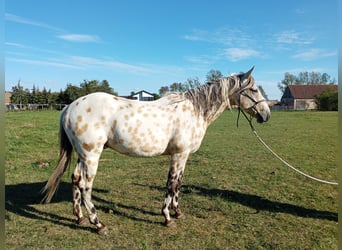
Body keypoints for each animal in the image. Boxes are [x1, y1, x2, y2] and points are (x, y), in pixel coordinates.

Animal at [42, 66, 270, 234]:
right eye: (253, 90)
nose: (266, 115)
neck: (194, 110)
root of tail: (69, 107)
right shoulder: (178, 155)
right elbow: (172, 184)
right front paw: (167, 217)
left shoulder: (183, 156)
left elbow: (179, 184)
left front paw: (178, 212)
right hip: (91, 156)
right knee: (85, 186)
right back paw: (98, 224)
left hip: (83, 155)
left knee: (75, 179)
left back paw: (79, 217)